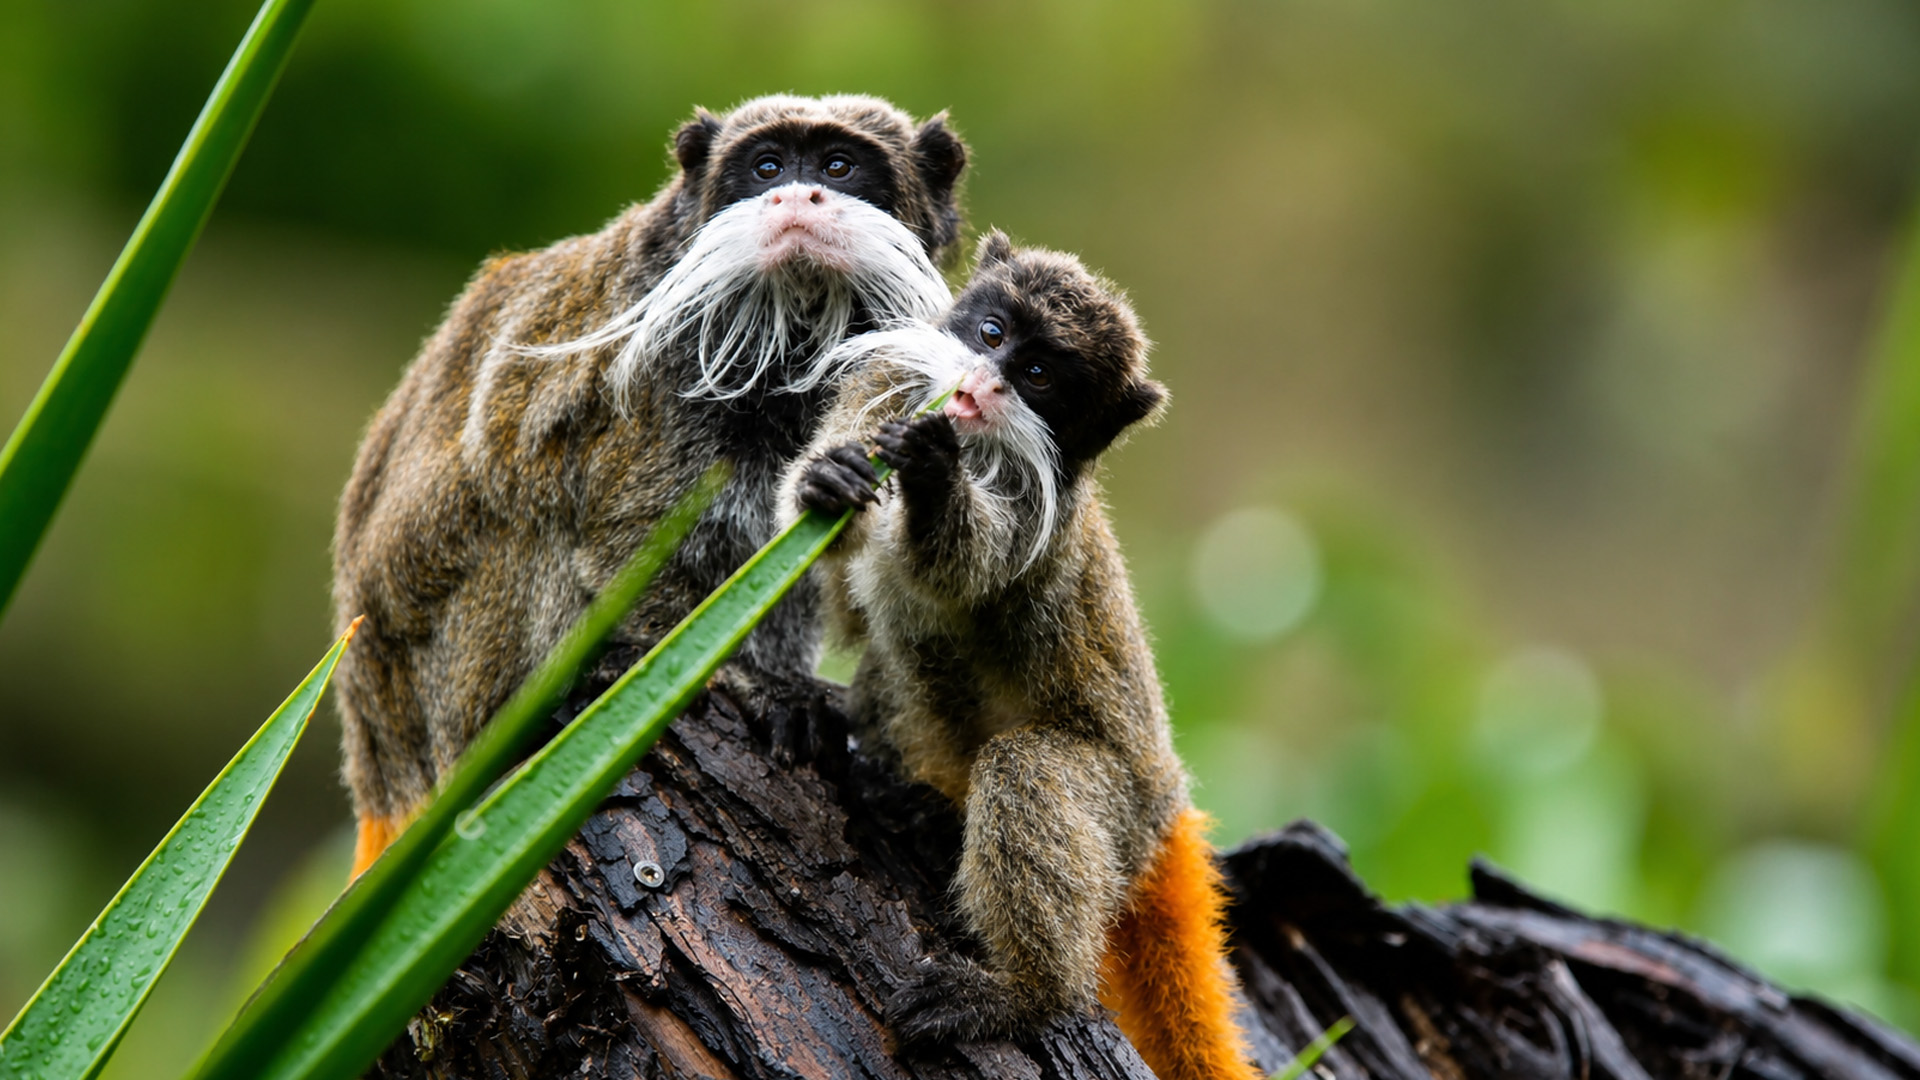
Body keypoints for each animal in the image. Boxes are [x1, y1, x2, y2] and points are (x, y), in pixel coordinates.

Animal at [331, 95, 968, 878]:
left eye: (838, 166)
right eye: (767, 168)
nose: (796, 195)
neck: (790, 333)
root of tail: (379, 766)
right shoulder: (659, 375)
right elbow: (631, 547)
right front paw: (734, 681)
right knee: (526, 511)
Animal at [783, 231, 1257, 1080]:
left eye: (1038, 376)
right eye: (993, 333)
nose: (983, 381)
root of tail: (1168, 801)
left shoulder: (1038, 522)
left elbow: (958, 565)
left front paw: (933, 473)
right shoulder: (883, 388)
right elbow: (843, 592)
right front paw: (825, 480)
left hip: (1122, 818)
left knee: (1025, 767)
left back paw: (1026, 995)